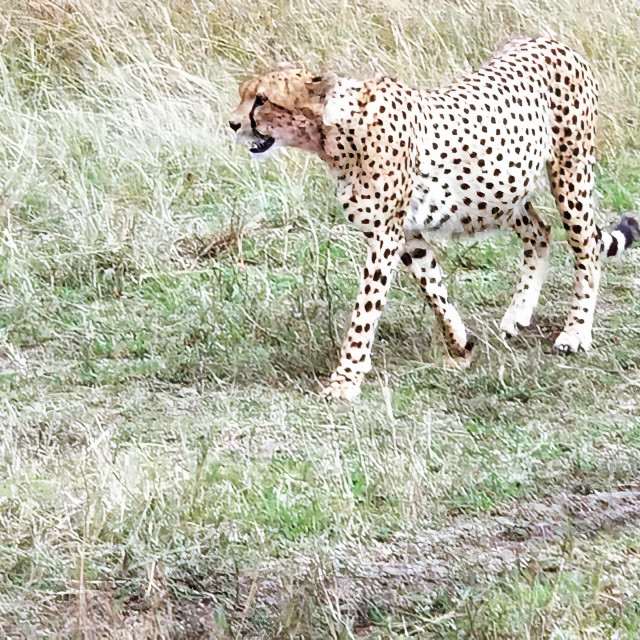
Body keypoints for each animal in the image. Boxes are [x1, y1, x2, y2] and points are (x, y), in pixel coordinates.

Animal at [230, 37, 640, 398]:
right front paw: (459, 345)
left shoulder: (384, 235)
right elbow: (434, 290)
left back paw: (576, 332)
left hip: (570, 173)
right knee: (540, 232)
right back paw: (519, 313)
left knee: (587, 247)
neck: (333, 132)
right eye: (244, 95)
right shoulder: (406, 233)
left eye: (262, 100)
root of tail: (552, 41)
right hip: (501, 191)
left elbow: (365, 314)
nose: (233, 123)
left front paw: (344, 382)